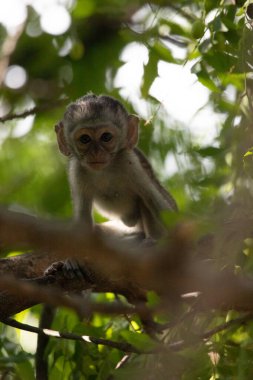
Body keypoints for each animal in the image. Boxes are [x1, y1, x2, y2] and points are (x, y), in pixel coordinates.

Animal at [55, 95, 178, 242]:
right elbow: (83, 226)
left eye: (106, 137)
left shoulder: (128, 162)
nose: (96, 153)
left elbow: (161, 208)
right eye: (85, 139)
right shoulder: (77, 170)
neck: (104, 171)